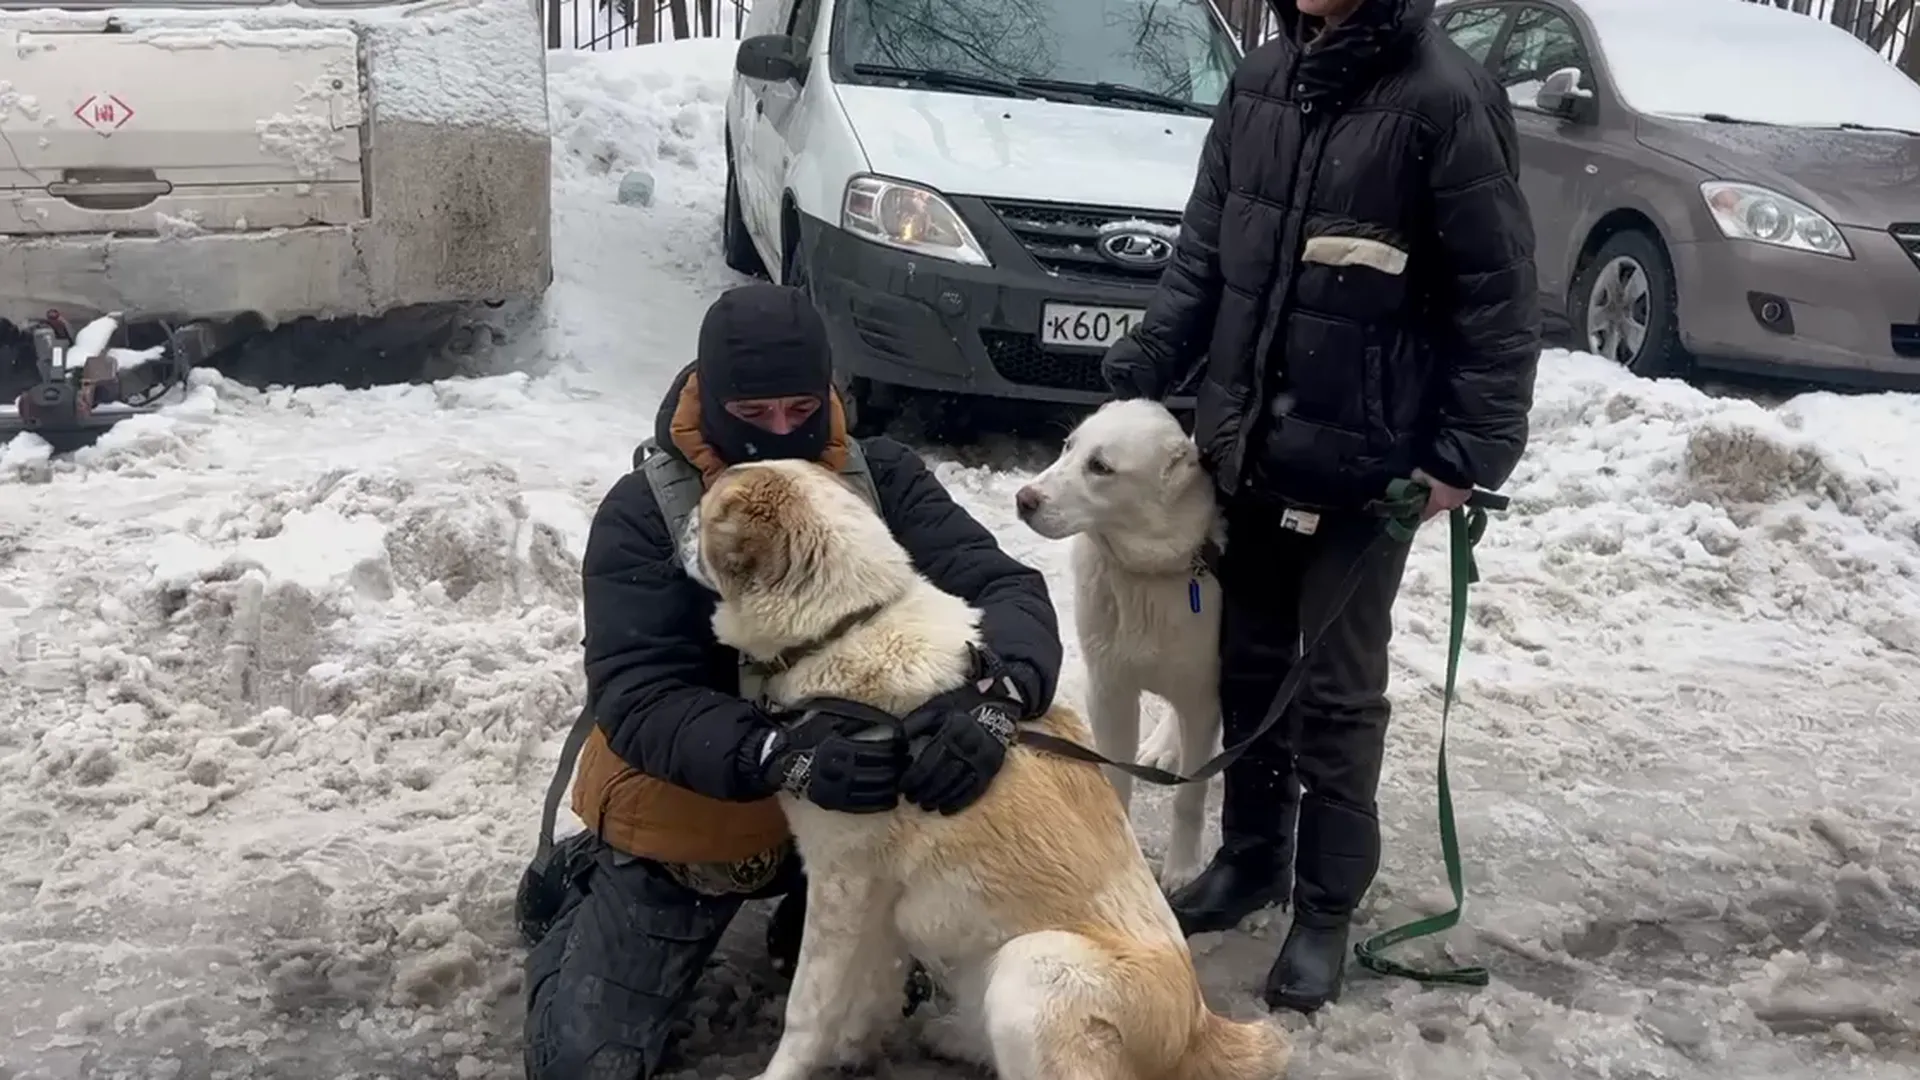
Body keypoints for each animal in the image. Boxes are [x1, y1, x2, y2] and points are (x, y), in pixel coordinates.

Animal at [679, 457, 1290, 1076]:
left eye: (705, 515)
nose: (679, 523)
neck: (850, 625)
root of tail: (1200, 1031)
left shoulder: (842, 885)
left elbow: (810, 1008)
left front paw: (786, 1068)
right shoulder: (878, 900)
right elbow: (873, 985)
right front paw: (856, 1046)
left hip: (1033, 966)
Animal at [1013, 397, 1221, 891]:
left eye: (1101, 467)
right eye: (1067, 446)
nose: (1024, 499)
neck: (1145, 574)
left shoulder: (1204, 696)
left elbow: (1191, 794)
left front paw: (1182, 869)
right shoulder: (1109, 690)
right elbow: (1114, 777)